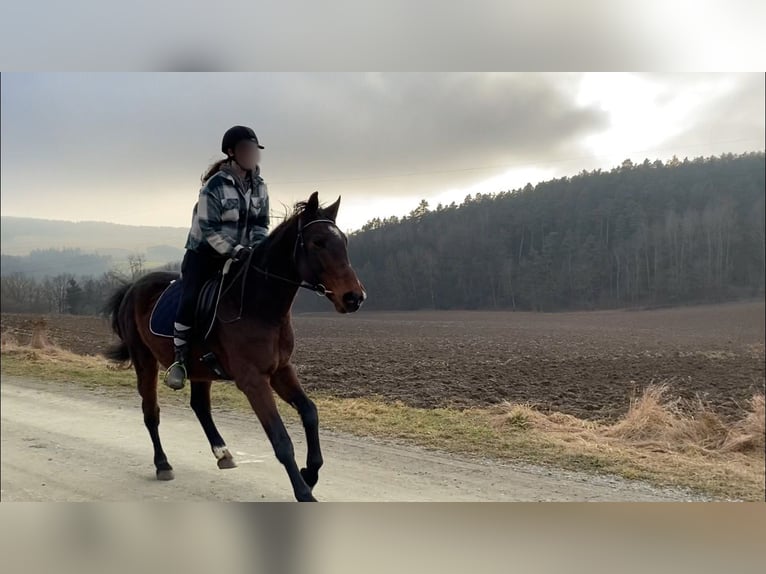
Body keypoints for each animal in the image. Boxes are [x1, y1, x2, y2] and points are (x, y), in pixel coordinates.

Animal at [103, 191, 368, 502]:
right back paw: (163, 464)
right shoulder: (253, 380)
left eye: (344, 242)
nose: (353, 297)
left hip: (200, 369)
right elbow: (280, 439)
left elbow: (310, 413)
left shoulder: (281, 370)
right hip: (145, 361)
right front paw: (304, 492)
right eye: (318, 242)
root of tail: (133, 287)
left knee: (200, 406)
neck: (260, 307)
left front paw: (310, 473)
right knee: (151, 412)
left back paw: (223, 453)